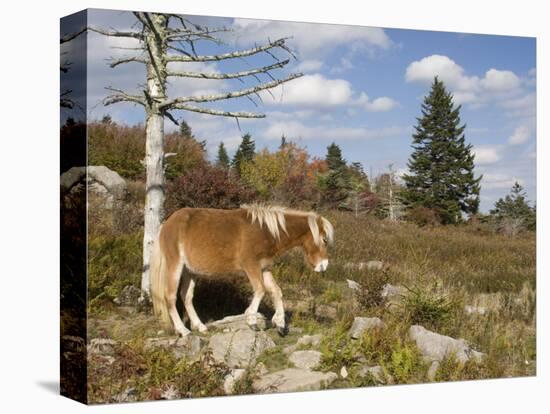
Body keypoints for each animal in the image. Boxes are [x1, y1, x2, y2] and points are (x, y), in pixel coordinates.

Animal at [149, 203, 334, 336]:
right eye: (324, 240)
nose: (324, 266)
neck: (266, 232)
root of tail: (166, 224)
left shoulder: (264, 268)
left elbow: (276, 291)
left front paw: (280, 323)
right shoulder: (251, 266)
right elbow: (260, 290)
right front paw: (251, 319)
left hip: (190, 271)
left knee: (186, 297)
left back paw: (200, 327)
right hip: (175, 265)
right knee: (170, 297)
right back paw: (183, 330)